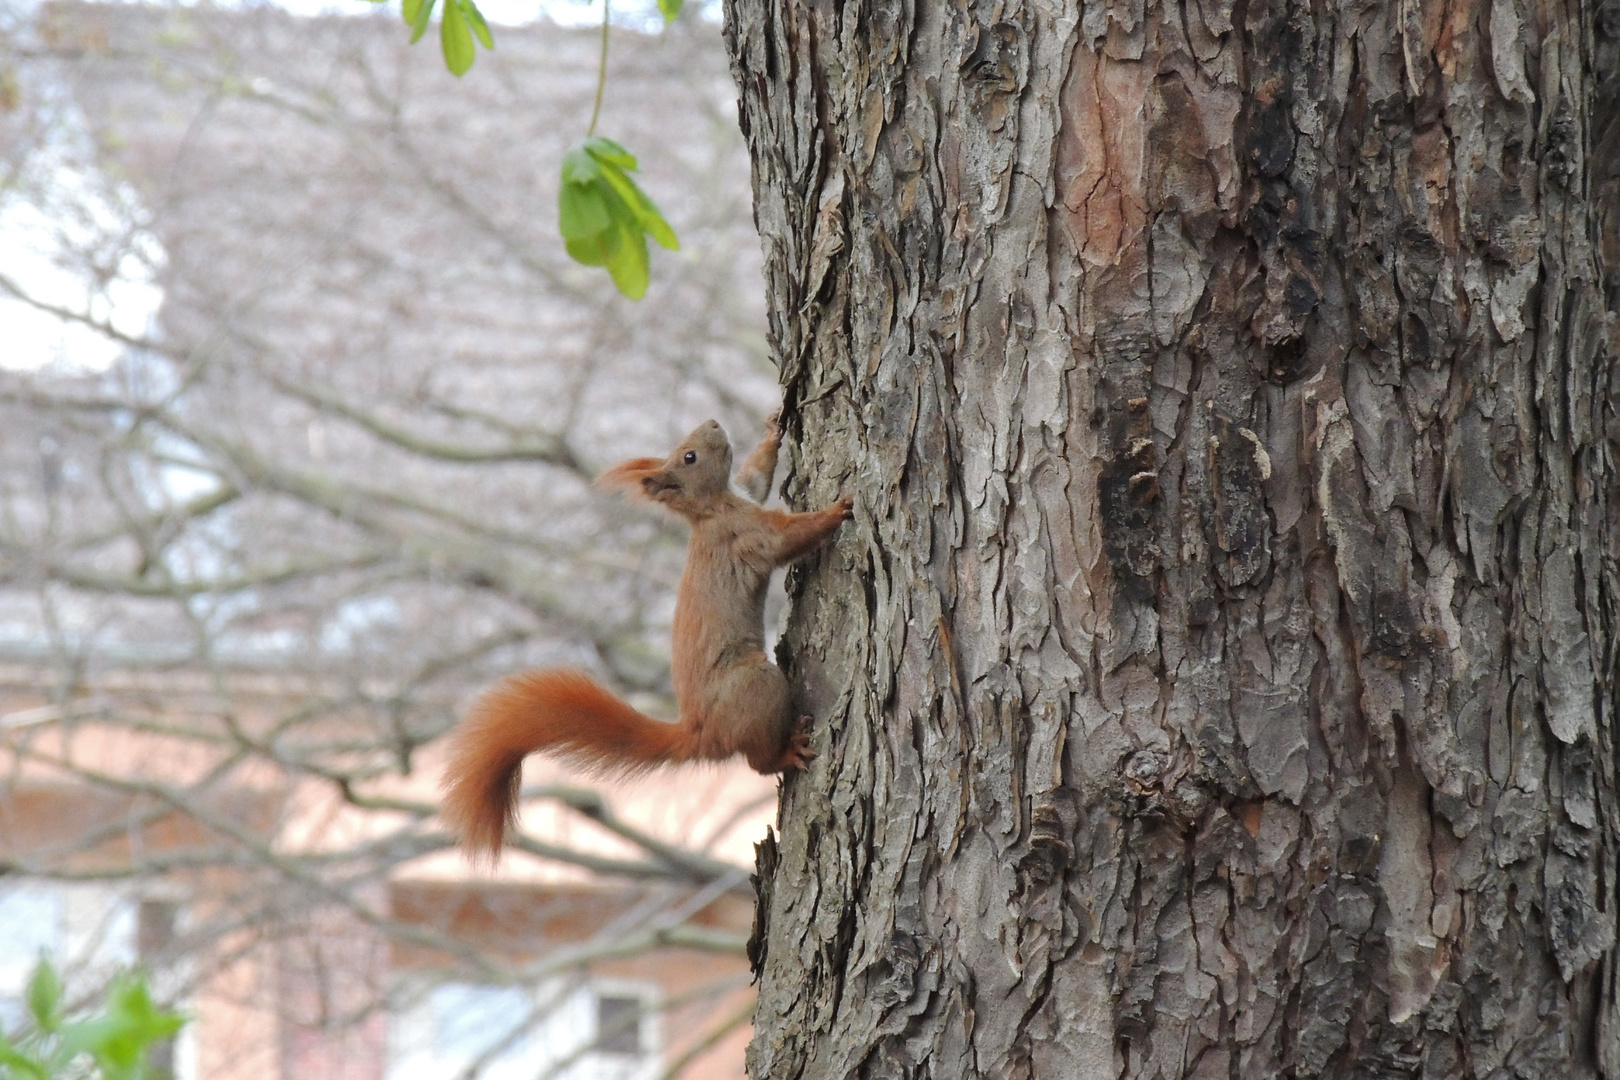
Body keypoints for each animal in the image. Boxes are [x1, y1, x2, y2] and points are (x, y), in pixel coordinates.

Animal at [437, 414, 855, 861]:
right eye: (689, 457)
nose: (713, 422)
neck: (711, 509)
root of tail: (700, 732)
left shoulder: (745, 492)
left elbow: (755, 476)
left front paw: (774, 430)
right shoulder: (745, 534)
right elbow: (787, 538)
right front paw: (838, 510)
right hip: (755, 686)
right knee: (758, 762)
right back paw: (787, 751)